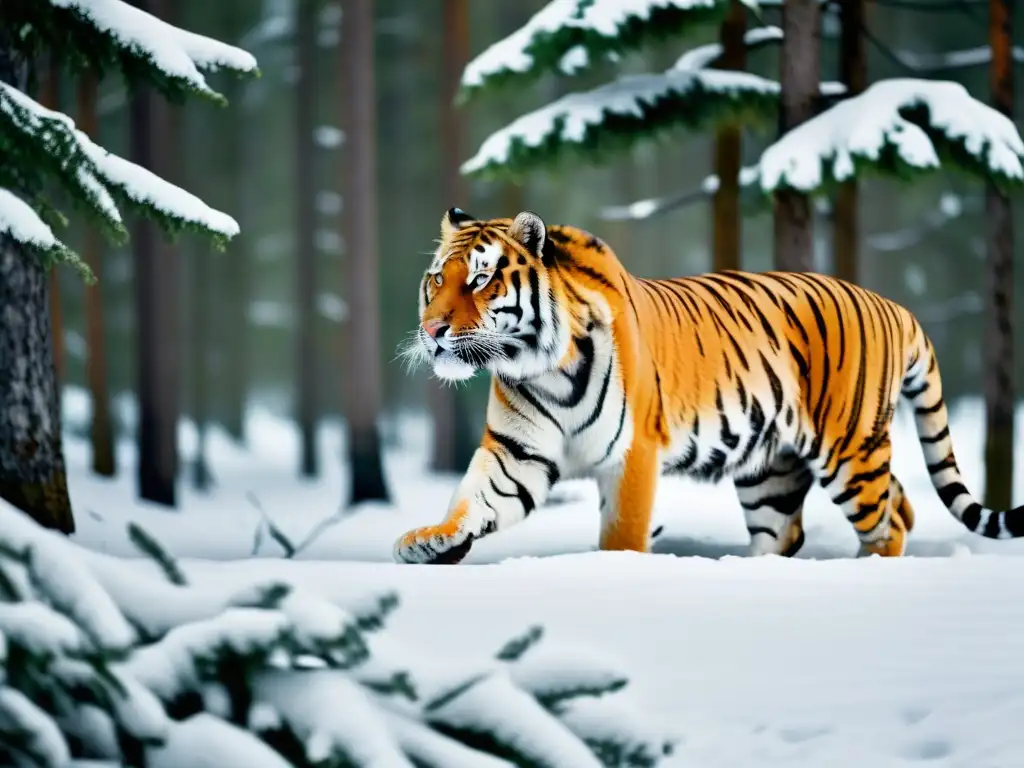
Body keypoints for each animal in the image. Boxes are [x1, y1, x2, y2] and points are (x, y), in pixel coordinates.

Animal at [391, 208, 1024, 565]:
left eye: (480, 279)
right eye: (435, 280)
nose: (433, 330)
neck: (543, 366)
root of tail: (895, 306)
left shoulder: (633, 452)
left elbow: (622, 532)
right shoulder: (517, 453)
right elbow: (473, 498)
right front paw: (430, 540)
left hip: (849, 448)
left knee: (888, 519)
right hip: (771, 470)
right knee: (820, 522)